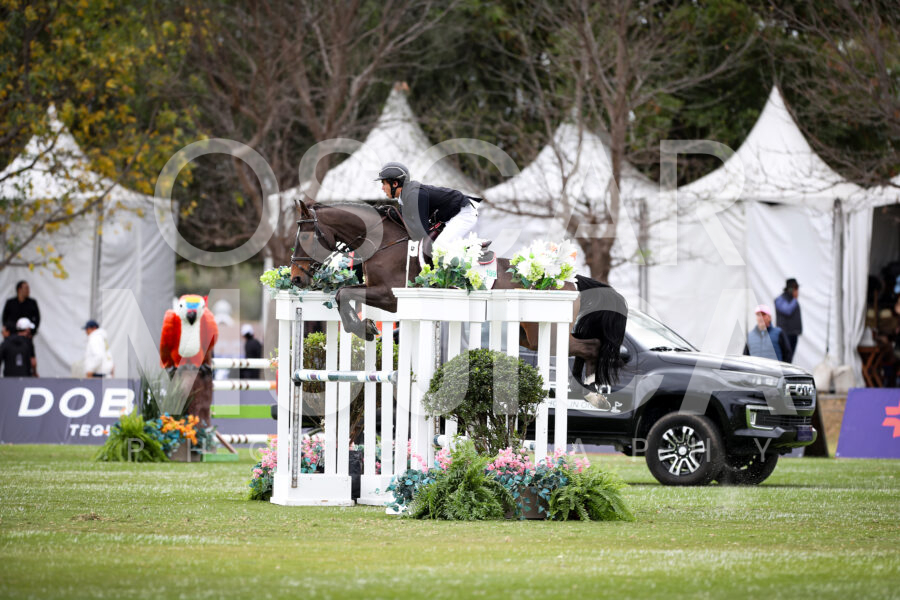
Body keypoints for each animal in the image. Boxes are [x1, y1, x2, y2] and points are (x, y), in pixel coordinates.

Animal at [289, 200, 628, 387]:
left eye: (306, 237)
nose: (295, 277)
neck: (385, 242)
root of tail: (570, 279)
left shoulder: (392, 296)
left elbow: (344, 293)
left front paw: (364, 329)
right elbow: (344, 293)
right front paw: (367, 327)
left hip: (545, 331)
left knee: (592, 346)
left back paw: (597, 391)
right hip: (526, 335)